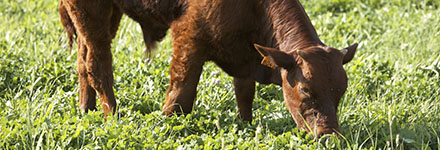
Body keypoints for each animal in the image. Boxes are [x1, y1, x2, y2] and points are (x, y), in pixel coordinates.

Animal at [60, 0, 358, 137]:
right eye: (306, 90)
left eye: (341, 91)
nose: (329, 135)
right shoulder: (189, 38)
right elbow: (182, 92)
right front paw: (167, 124)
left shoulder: (247, 58)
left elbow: (245, 94)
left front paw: (246, 124)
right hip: (91, 12)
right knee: (98, 65)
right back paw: (114, 116)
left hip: (108, 14)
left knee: (83, 61)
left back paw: (86, 109)